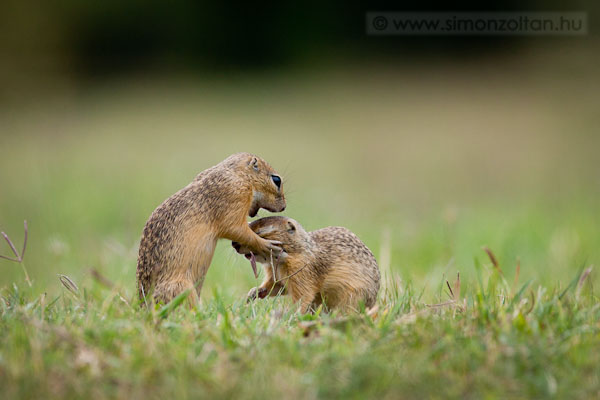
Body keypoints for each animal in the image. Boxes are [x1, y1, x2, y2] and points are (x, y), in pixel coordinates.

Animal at [137, 153, 286, 304]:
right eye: (276, 180)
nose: (284, 207)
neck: (240, 175)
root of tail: (142, 305)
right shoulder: (235, 198)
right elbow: (237, 230)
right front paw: (268, 245)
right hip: (182, 288)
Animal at [231, 216, 380, 312]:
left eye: (260, 232)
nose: (233, 243)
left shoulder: (302, 272)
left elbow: (303, 296)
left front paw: (292, 315)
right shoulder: (276, 275)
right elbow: (275, 286)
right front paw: (253, 293)